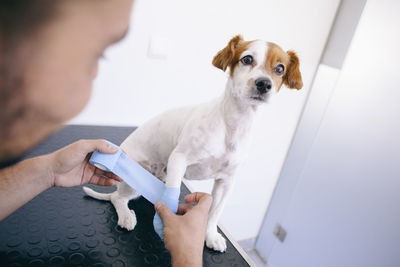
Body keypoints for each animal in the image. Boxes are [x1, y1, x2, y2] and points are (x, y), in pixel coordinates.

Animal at [84, 35, 304, 253]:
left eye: (280, 68)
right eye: (247, 59)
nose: (264, 84)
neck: (232, 124)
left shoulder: (226, 182)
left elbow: (214, 213)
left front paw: (211, 235)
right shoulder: (179, 160)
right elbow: (172, 197)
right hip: (134, 177)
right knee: (117, 198)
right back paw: (126, 216)